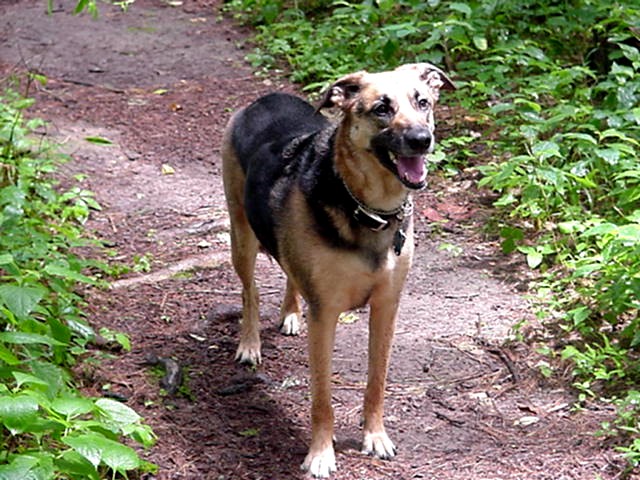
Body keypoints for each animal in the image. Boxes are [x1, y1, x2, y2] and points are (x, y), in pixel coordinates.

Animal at [221, 63, 454, 478]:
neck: (369, 209)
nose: (421, 140)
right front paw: (320, 454)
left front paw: (375, 436)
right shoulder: (325, 314)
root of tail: (264, 99)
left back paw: (290, 313)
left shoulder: (386, 307)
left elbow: (376, 382)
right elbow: (322, 398)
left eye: (423, 102)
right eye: (381, 108)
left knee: (288, 274)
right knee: (249, 292)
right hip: (241, 235)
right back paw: (249, 344)